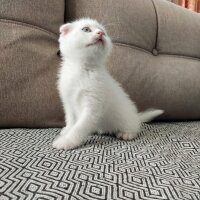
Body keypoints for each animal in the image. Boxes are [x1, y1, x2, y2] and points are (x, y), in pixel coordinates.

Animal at [52, 18, 163, 150]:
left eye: (104, 32)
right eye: (86, 29)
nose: (100, 33)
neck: (83, 69)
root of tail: (136, 116)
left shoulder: (93, 105)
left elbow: (79, 127)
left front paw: (67, 141)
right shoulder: (68, 101)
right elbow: (71, 119)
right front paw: (68, 130)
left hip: (128, 120)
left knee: (135, 128)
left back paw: (126, 133)